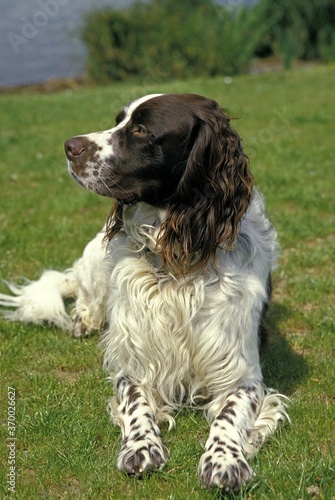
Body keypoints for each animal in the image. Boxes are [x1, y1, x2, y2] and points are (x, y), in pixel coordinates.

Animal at [0, 94, 288, 492]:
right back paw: (83, 320)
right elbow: (136, 402)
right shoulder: (133, 363)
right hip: (95, 259)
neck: (178, 258)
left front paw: (224, 459)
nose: (69, 146)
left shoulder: (242, 375)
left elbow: (229, 415)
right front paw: (140, 446)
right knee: (86, 292)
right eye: (118, 121)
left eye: (141, 130)